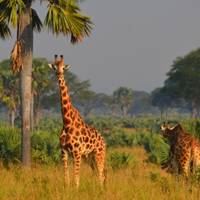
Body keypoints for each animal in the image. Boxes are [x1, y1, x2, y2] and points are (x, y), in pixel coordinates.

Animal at [48, 54, 106, 188]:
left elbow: (76, 178)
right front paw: (67, 189)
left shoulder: (77, 152)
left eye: (63, 68)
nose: (59, 74)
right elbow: (66, 177)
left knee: (101, 175)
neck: (67, 123)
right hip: (89, 157)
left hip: (99, 154)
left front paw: (76, 190)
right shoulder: (64, 152)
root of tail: (103, 140)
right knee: (98, 174)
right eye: (55, 67)